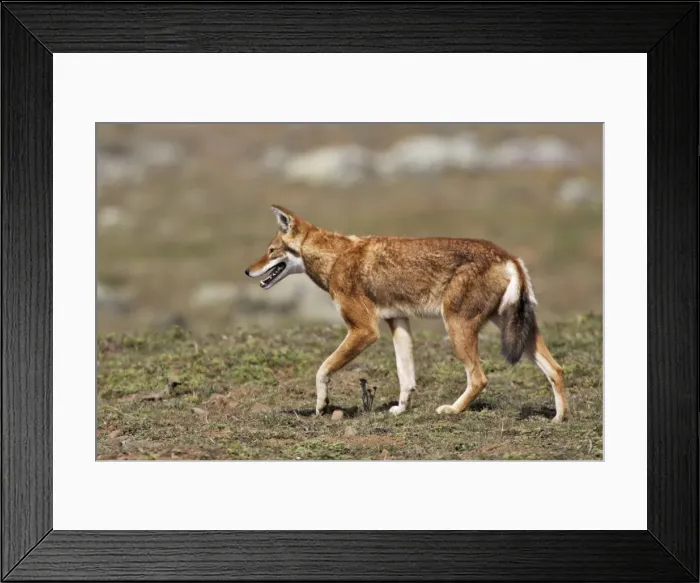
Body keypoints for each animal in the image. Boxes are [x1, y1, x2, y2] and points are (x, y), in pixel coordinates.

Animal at [245, 205, 570, 422]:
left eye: (272, 250)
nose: (247, 271)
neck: (335, 258)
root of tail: (509, 257)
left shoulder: (364, 330)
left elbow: (322, 369)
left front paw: (322, 405)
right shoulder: (397, 321)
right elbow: (406, 375)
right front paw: (401, 409)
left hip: (457, 328)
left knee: (479, 378)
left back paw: (451, 410)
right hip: (516, 333)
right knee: (556, 369)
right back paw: (558, 419)